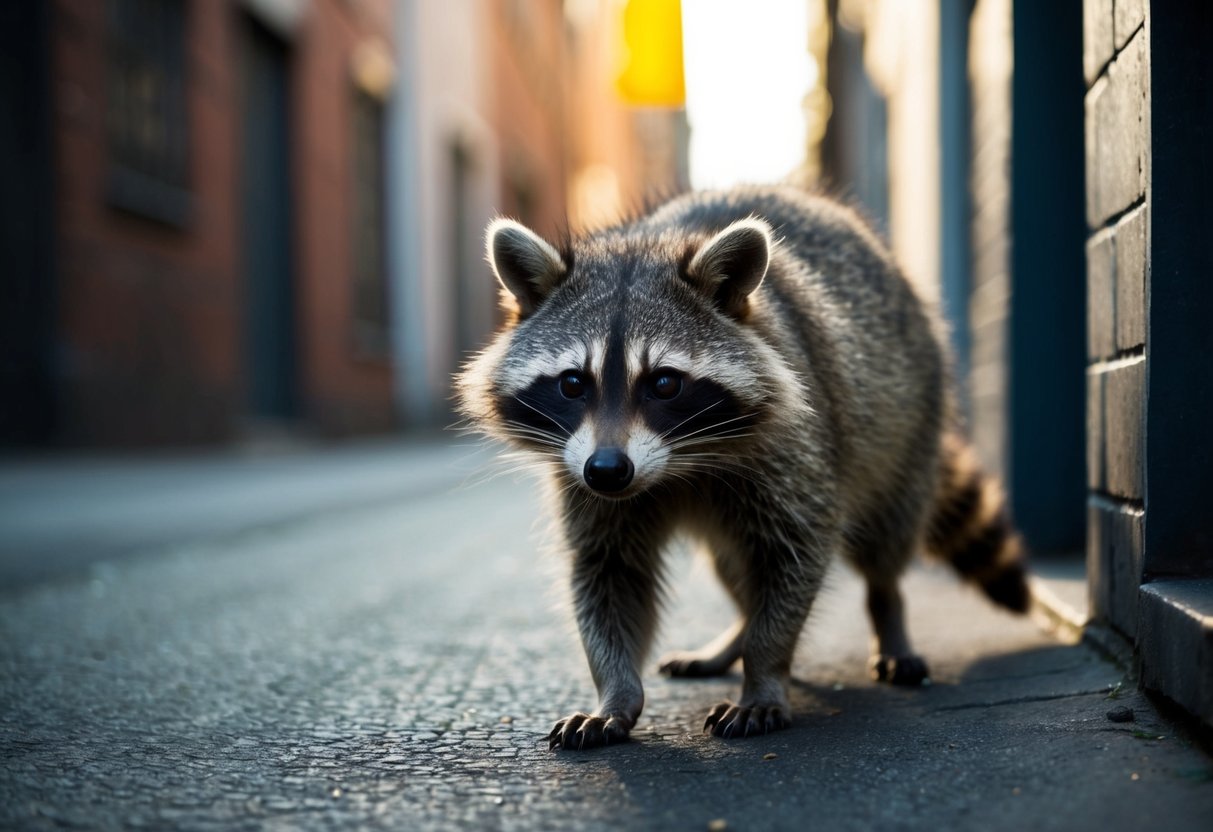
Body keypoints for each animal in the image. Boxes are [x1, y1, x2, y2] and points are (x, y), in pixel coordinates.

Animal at [456, 185, 1029, 750]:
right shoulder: (583, 481)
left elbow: (796, 550)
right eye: (573, 383)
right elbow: (607, 574)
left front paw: (764, 669)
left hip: (910, 422)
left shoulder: (795, 453)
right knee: (732, 566)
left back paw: (887, 614)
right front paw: (614, 693)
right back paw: (732, 638)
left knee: (884, 541)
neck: (677, 464)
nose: (608, 470)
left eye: (665, 383)